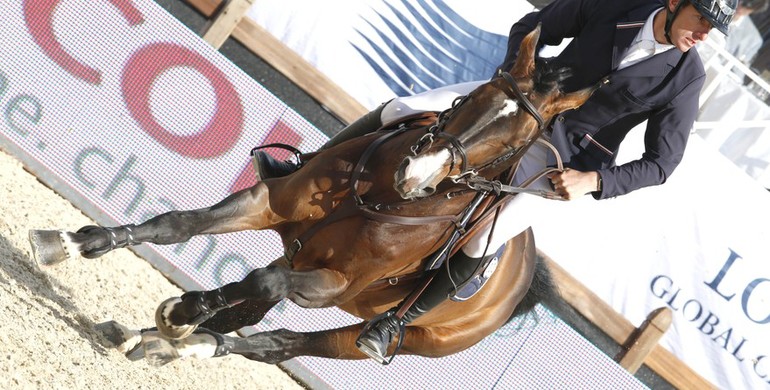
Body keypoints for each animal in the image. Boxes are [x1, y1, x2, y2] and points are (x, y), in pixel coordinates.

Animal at [27, 28, 592, 366]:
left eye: (515, 141)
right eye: (475, 97)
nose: (416, 175)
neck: (383, 198)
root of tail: (525, 277)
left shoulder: (334, 283)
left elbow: (264, 280)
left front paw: (183, 314)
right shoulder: (269, 203)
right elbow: (177, 225)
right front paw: (69, 243)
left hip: (404, 338)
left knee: (279, 342)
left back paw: (188, 344)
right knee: (250, 313)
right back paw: (153, 338)